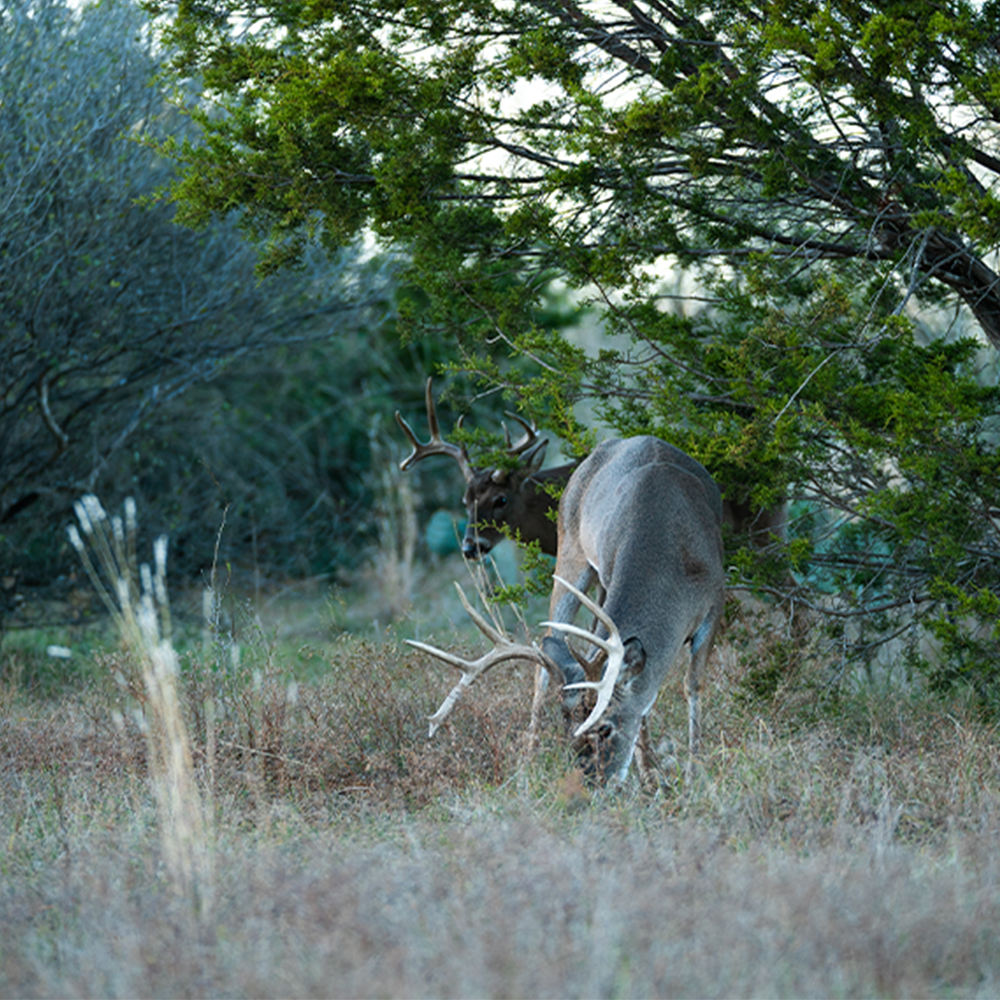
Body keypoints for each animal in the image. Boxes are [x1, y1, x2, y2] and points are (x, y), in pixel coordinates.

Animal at [407, 435, 726, 784]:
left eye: (604, 729)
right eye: (568, 729)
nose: (590, 782)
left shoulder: (716, 598)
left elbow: (691, 685)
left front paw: (693, 772)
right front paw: (651, 773)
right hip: (571, 556)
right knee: (549, 651)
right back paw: (527, 761)